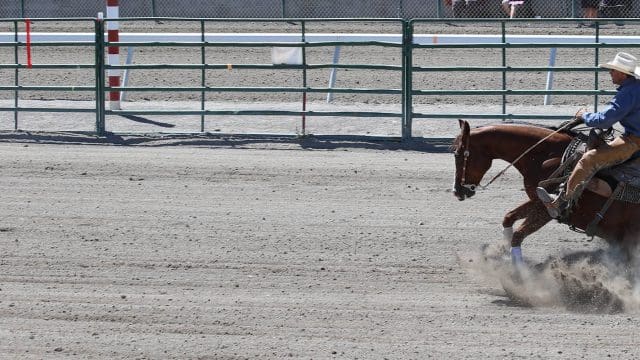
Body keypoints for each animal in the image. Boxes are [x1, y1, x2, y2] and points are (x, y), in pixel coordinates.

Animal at [452, 119, 640, 262]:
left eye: (458, 153)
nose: (457, 191)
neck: (545, 155)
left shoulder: (547, 209)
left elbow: (518, 235)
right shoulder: (536, 199)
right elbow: (509, 218)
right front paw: (503, 250)